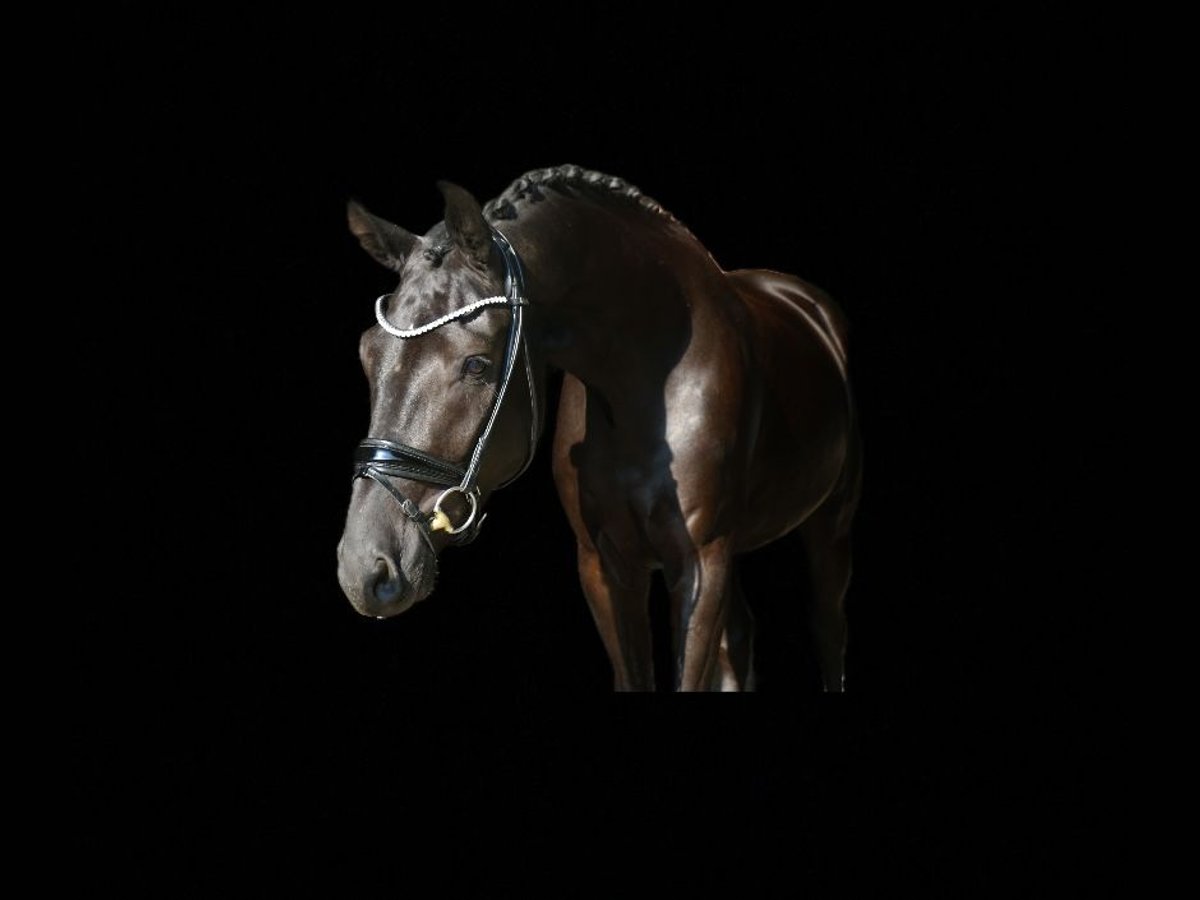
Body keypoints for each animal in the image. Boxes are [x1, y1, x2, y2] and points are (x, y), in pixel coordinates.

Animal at [336, 165, 861, 692]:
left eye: (477, 365)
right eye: (367, 353)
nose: (364, 570)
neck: (647, 390)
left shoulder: (700, 564)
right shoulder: (605, 565)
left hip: (829, 528)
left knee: (828, 630)